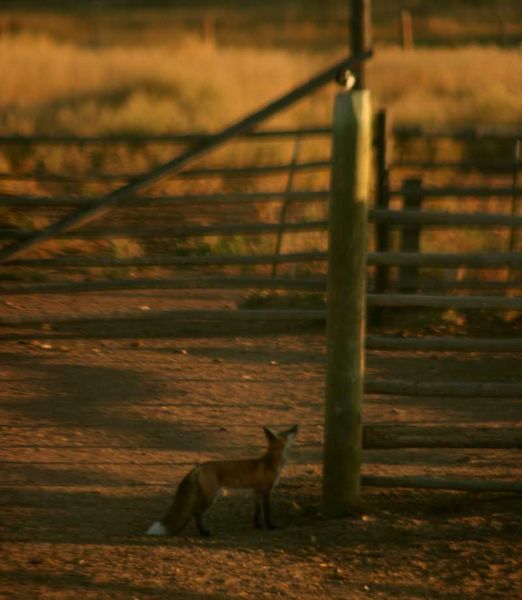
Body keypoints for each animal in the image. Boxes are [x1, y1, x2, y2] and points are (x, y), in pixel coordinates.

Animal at [145, 424, 296, 536]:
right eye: (288, 432)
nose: (296, 426)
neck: (270, 462)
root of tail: (199, 466)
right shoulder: (266, 491)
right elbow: (267, 512)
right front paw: (270, 527)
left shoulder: (256, 491)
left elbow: (256, 512)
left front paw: (256, 526)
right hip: (211, 496)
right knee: (196, 512)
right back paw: (203, 533)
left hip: (206, 494)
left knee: (195, 512)